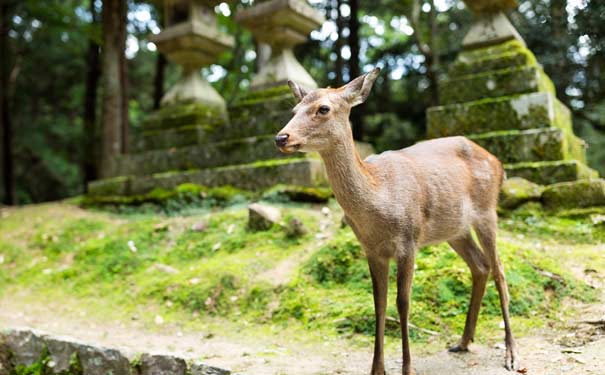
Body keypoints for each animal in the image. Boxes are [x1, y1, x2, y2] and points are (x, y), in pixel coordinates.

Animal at [274, 68, 520, 375]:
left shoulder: (408, 240)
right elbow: (378, 302)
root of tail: (499, 164)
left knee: (499, 269)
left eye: (323, 108)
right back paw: (463, 341)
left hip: (487, 212)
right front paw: (376, 369)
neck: (378, 200)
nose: (281, 137)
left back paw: (511, 353)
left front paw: (408, 368)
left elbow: (402, 302)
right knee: (480, 265)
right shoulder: (371, 249)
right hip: (455, 229)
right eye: (294, 109)